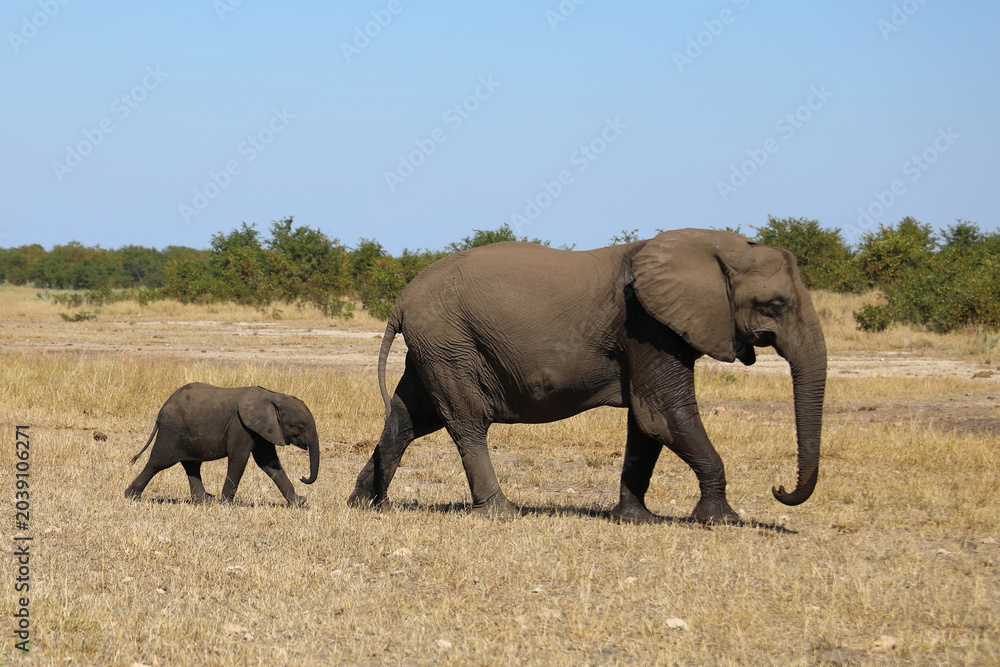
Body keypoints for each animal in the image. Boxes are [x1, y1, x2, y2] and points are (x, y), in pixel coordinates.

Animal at [125, 383, 320, 506]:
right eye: (300, 427)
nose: (303, 477)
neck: (274, 396)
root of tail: (160, 412)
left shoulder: (264, 429)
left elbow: (269, 463)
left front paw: (299, 502)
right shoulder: (240, 426)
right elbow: (239, 459)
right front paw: (226, 504)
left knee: (192, 465)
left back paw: (205, 501)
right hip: (171, 430)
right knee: (158, 463)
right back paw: (131, 497)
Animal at [348, 228, 827, 525]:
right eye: (776, 304)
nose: (779, 488)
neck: (716, 246)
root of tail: (402, 299)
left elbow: (646, 425)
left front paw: (634, 520)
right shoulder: (648, 324)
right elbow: (664, 414)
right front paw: (722, 521)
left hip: (437, 347)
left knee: (407, 418)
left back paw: (368, 506)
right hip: (450, 343)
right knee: (467, 423)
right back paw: (502, 512)